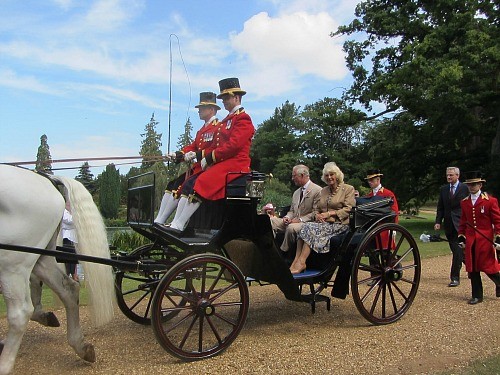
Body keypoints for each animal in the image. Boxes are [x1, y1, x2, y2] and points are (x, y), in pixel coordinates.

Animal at [0, 166, 115, 374]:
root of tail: (46, 178)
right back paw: (80, 346)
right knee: (68, 289)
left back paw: (4, 364)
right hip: (40, 259)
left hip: (13, 264)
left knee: (20, 313)